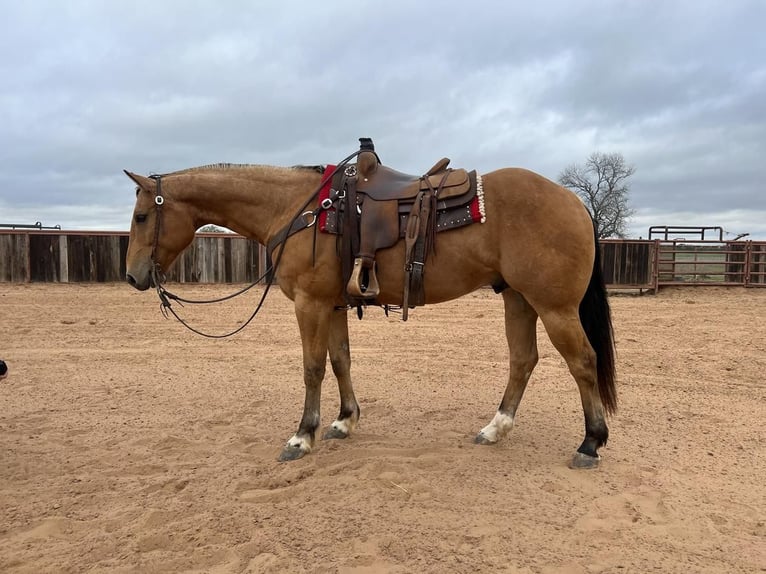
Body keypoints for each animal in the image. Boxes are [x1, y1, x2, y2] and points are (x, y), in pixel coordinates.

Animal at [126, 142, 616, 470]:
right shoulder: (333, 305)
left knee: (583, 362)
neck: (299, 209)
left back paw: (590, 444)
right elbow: (340, 360)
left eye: (142, 216)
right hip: (518, 299)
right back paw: (495, 428)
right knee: (523, 360)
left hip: (554, 307)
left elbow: (313, 367)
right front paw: (345, 421)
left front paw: (303, 436)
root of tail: (575, 202)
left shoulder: (310, 304)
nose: (133, 276)